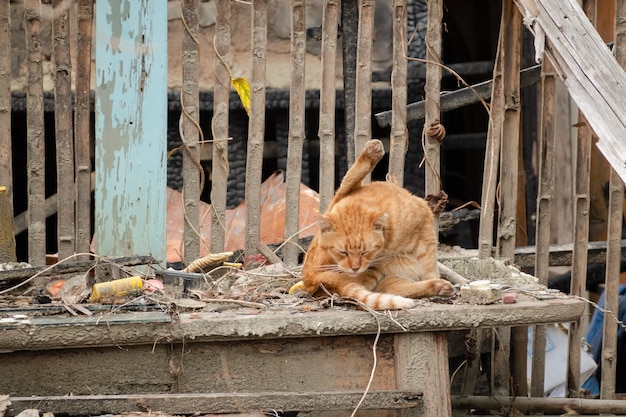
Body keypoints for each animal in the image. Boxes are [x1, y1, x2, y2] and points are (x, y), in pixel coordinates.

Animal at [298, 138, 450, 308]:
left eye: (366, 252)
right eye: (342, 252)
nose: (355, 268)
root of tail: (308, 277)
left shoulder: (424, 229)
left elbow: (428, 263)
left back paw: (438, 286)